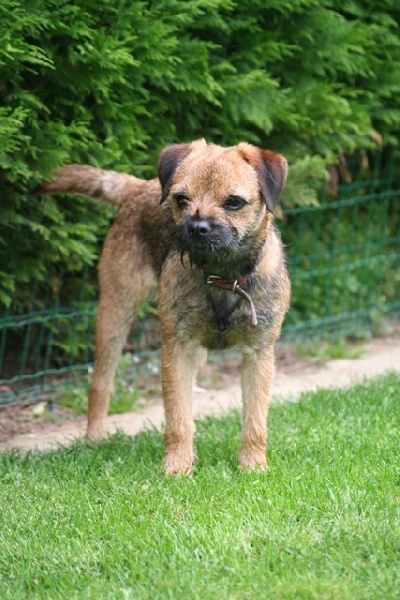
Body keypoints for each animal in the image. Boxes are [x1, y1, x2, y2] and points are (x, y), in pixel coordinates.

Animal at [39, 139, 290, 474]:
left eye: (234, 202)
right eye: (181, 199)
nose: (197, 227)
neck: (223, 276)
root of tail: (137, 187)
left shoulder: (258, 352)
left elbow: (255, 419)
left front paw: (253, 466)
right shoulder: (176, 348)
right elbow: (177, 416)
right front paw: (176, 467)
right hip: (115, 313)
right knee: (101, 382)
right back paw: (95, 436)